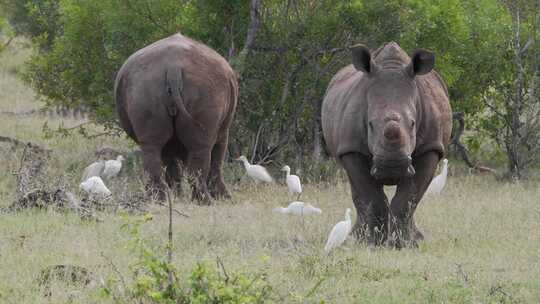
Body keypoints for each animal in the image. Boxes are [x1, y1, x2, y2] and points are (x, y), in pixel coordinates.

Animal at [115, 33, 237, 202]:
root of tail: (173, 68)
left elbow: (172, 162)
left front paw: (176, 195)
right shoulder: (224, 131)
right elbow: (218, 156)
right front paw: (224, 197)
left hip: (144, 86)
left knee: (151, 145)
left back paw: (158, 199)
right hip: (207, 87)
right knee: (202, 147)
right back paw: (206, 201)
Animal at [322, 42, 454, 247]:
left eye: (413, 124)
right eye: (370, 124)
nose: (392, 166)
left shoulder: (431, 147)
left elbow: (409, 198)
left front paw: (404, 244)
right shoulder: (352, 148)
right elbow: (371, 196)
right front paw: (373, 242)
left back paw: (417, 237)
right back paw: (356, 237)